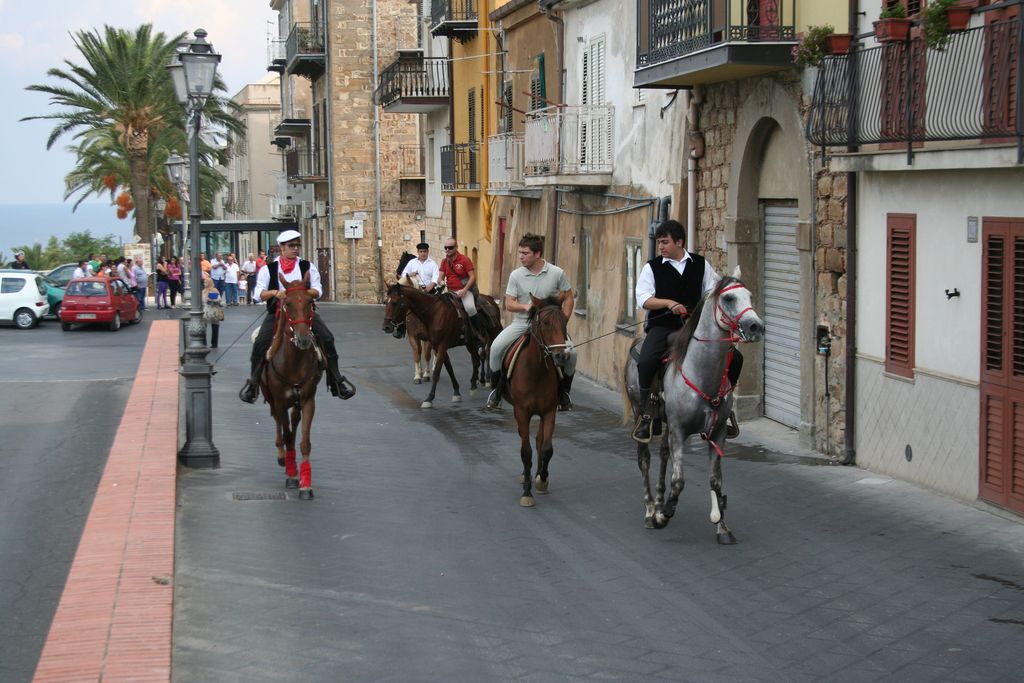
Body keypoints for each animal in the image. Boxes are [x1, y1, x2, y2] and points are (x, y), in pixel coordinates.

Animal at [261, 275, 324, 500]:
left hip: (295, 402)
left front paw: (305, 484)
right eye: (287, 303)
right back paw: (282, 456)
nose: (304, 339)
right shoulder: (280, 401)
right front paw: (291, 474)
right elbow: (287, 434)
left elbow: (304, 441)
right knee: (280, 424)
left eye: (310, 302)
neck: (294, 363)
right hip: (273, 399)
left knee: (294, 422)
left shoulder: (308, 401)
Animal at [500, 293, 571, 507]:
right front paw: (527, 492)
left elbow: (546, 448)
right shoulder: (522, 412)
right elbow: (526, 451)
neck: (536, 372)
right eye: (546, 323)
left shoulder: (549, 411)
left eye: (565, 321)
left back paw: (538, 475)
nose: (561, 356)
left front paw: (542, 480)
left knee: (539, 440)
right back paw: (526, 475)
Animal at [623, 272, 764, 542]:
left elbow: (715, 480)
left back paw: (659, 499)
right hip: (640, 413)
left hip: (666, 422)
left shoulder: (718, 433)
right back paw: (650, 510)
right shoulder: (679, 431)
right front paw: (664, 514)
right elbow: (679, 480)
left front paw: (722, 527)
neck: (702, 373)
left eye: (749, 296)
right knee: (644, 459)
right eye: (729, 298)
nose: (756, 326)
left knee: (663, 455)